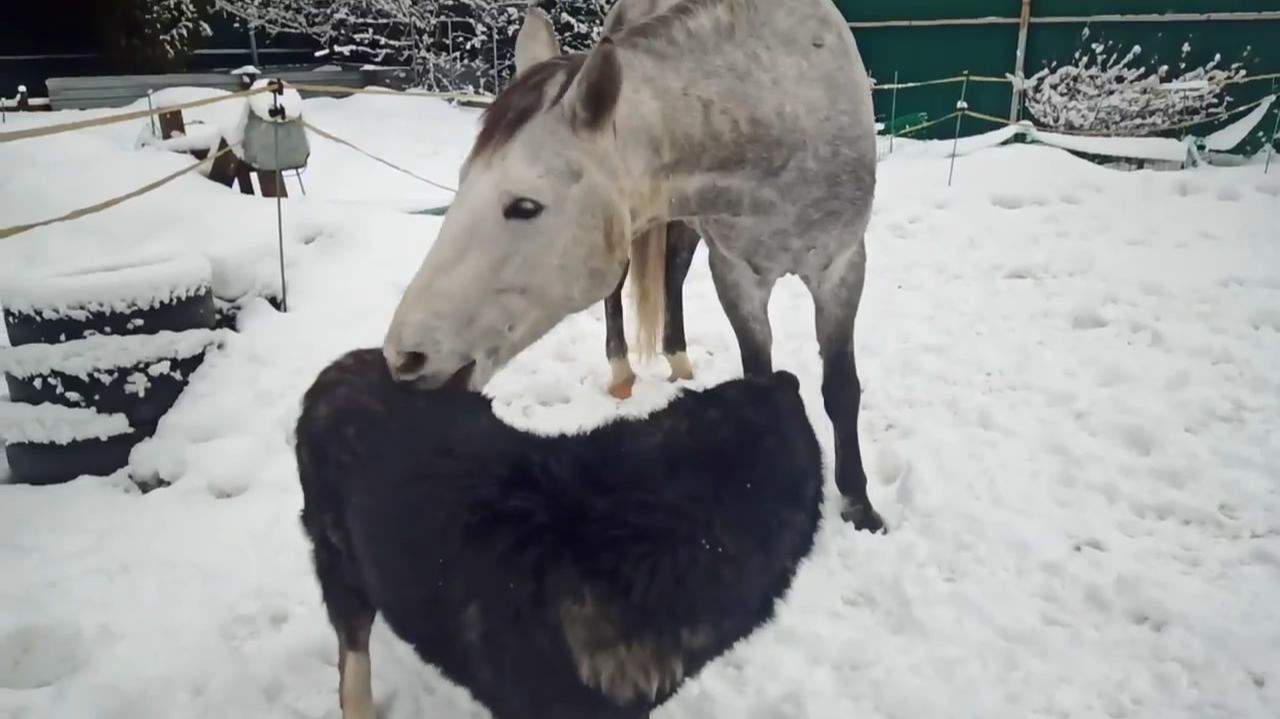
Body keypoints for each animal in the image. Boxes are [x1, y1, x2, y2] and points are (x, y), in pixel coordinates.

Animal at [381, 0, 885, 532]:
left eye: (525, 206)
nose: (403, 357)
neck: (781, 109)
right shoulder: (736, 276)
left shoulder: (842, 266)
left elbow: (841, 388)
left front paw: (860, 505)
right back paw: (623, 373)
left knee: (674, 271)